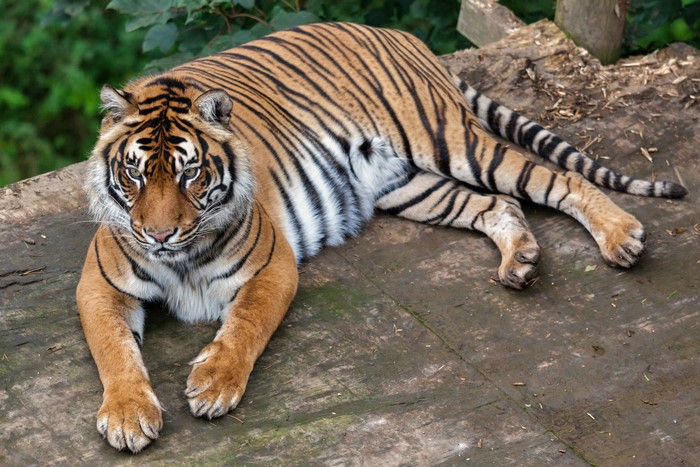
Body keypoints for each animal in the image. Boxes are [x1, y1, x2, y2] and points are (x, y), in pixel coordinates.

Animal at [76, 22, 687, 453]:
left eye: (190, 174)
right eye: (134, 173)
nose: (158, 235)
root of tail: (395, 33)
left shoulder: (273, 266)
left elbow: (245, 325)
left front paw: (214, 384)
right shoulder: (99, 285)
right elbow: (114, 349)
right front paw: (128, 415)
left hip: (451, 141)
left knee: (557, 178)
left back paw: (622, 238)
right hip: (407, 185)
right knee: (498, 203)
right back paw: (521, 261)